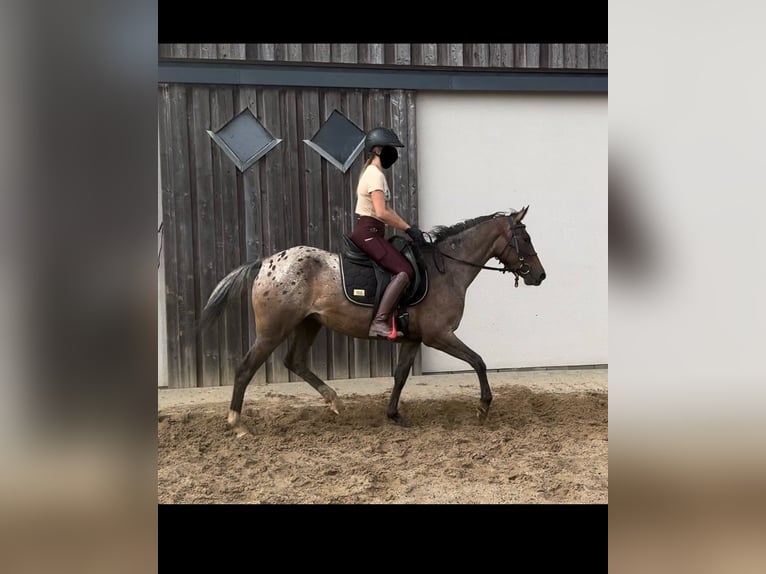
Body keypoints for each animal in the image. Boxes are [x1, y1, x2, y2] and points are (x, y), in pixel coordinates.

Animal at [198, 207, 544, 436]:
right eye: (525, 238)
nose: (540, 276)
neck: (445, 269)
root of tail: (266, 263)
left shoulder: (413, 339)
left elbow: (401, 375)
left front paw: (394, 415)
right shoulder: (438, 335)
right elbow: (478, 361)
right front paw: (483, 407)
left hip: (309, 323)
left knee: (294, 361)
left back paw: (335, 402)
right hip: (273, 330)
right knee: (246, 369)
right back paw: (237, 424)